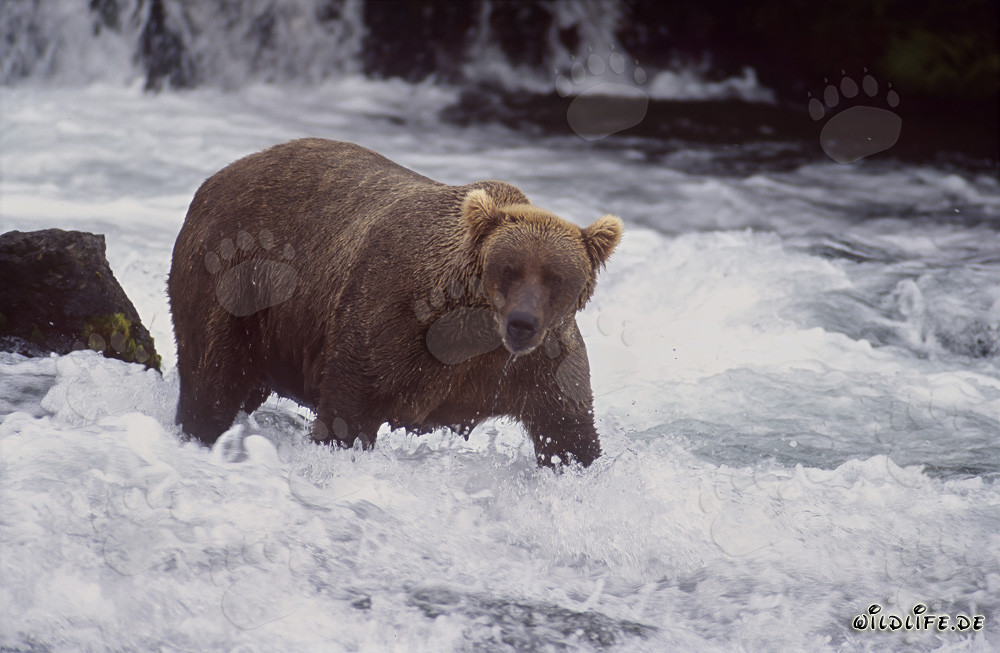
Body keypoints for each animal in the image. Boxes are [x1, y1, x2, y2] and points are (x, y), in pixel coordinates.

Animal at [168, 139, 622, 467]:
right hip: (236, 282)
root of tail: (213, 181)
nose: (522, 323)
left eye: (555, 277)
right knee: (211, 380)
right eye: (508, 269)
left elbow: (569, 431)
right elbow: (348, 414)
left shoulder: (539, 366)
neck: (473, 336)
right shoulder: (392, 322)